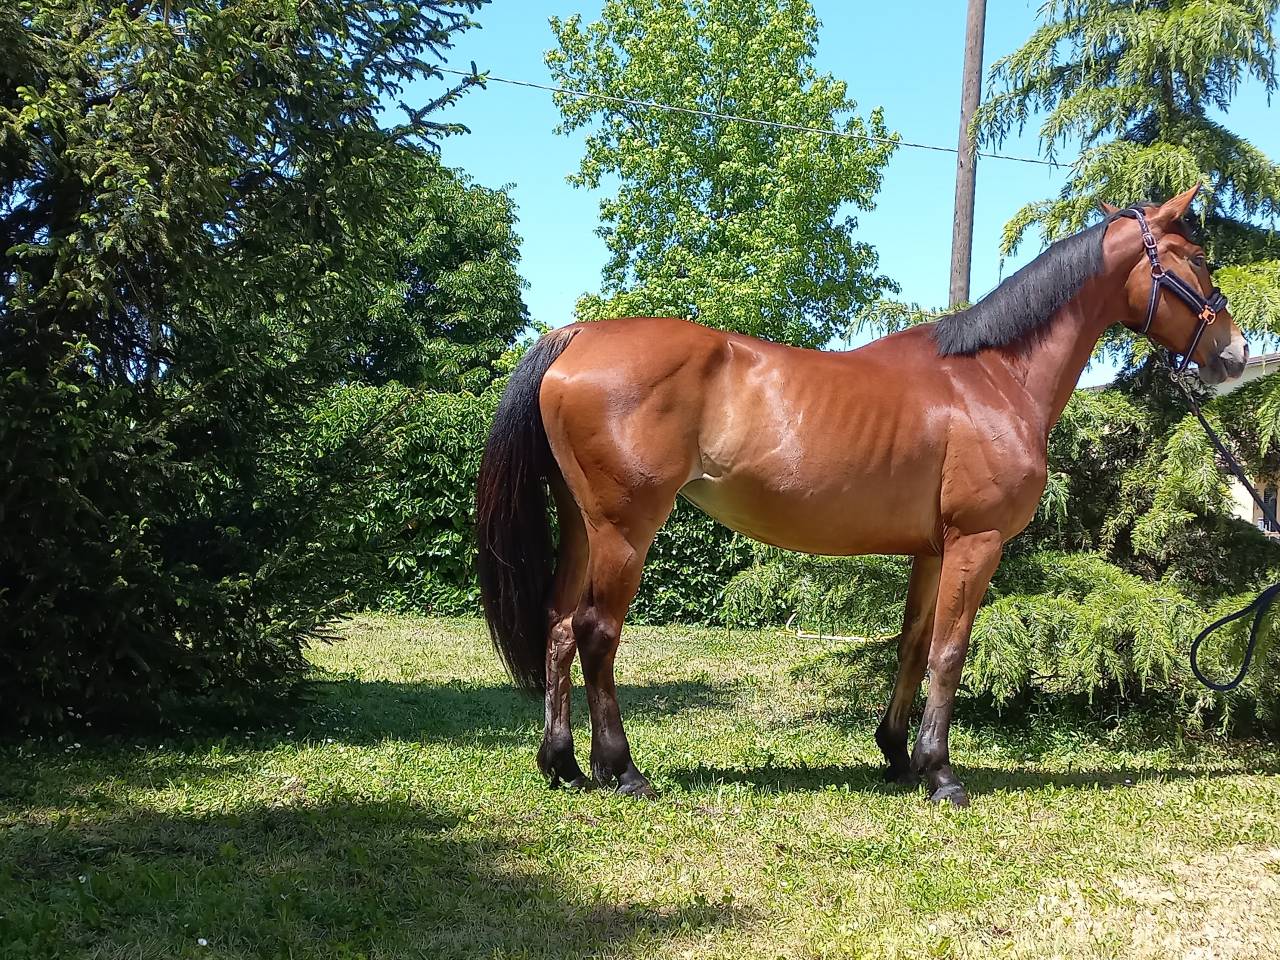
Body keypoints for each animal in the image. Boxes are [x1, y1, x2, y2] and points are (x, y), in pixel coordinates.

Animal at [475, 185, 1248, 807]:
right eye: (1198, 259)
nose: (1236, 355)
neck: (991, 377)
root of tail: (578, 336)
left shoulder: (933, 551)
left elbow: (913, 645)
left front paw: (898, 755)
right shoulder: (976, 543)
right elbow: (951, 653)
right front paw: (942, 774)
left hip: (582, 524)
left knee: (556, 627)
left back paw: (563, 765)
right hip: (625, 528)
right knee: (595, 633)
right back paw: (623, 770)